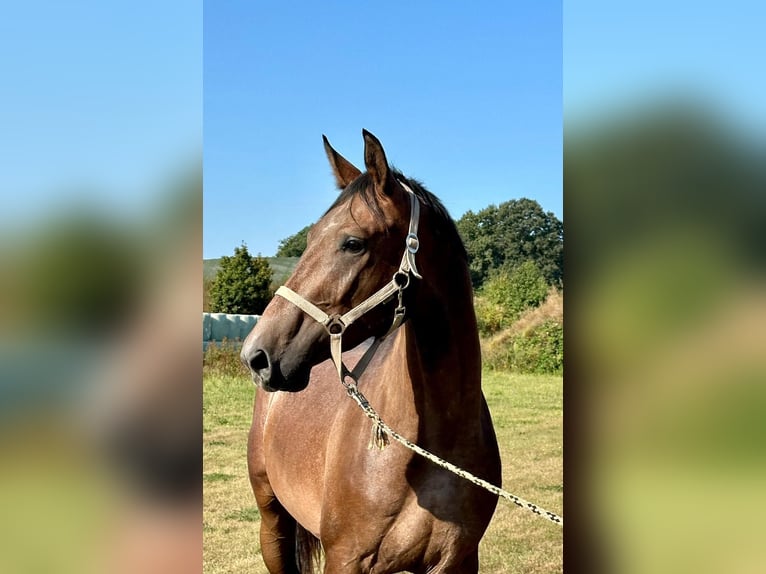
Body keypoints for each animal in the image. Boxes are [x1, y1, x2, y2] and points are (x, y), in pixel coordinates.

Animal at [242, 132, 504, 574]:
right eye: (309, 239)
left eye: (353, 243)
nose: (255, 355)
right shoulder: (345, 559)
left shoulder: (459, 561)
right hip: (272, 523)